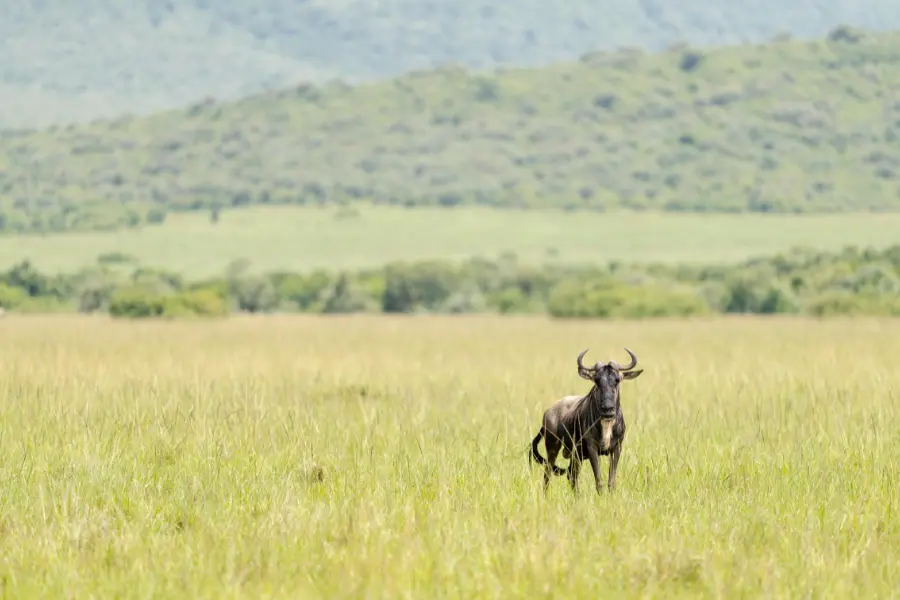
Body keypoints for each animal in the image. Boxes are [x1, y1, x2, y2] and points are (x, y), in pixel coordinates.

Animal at [530, 347, 643, 493]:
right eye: (596, 380)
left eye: (617, 380)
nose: (608, 410)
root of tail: (548, 412)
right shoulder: (592, 448)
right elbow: (599, 481)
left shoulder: (617, 447)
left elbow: (611, 482)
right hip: (553, 448)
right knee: (548, 475)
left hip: (576, 455)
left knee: (571, 476)